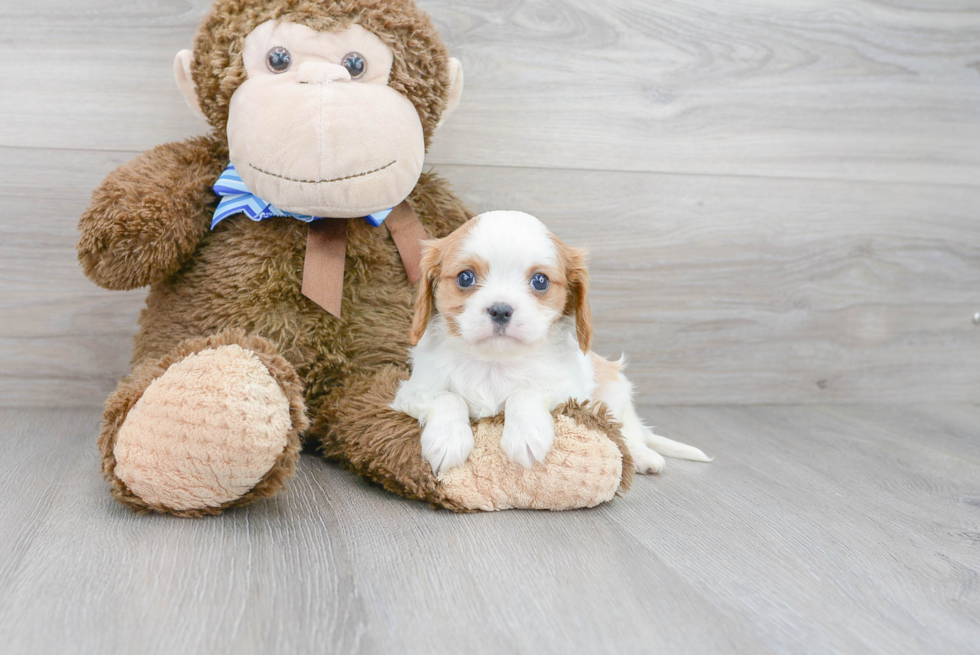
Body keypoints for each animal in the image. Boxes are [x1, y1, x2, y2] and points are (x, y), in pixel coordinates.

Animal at [392, 210, 712, 476]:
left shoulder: (571, 390)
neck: (495, 361)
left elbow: (524, 393)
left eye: (540, 281)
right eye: (465, 277)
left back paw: (643, 456)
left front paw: (526, 436)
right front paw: (447, 440)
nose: (500, 310)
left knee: (627, 431)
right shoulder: (412, 391)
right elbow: (448, 397)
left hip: (615, 393)